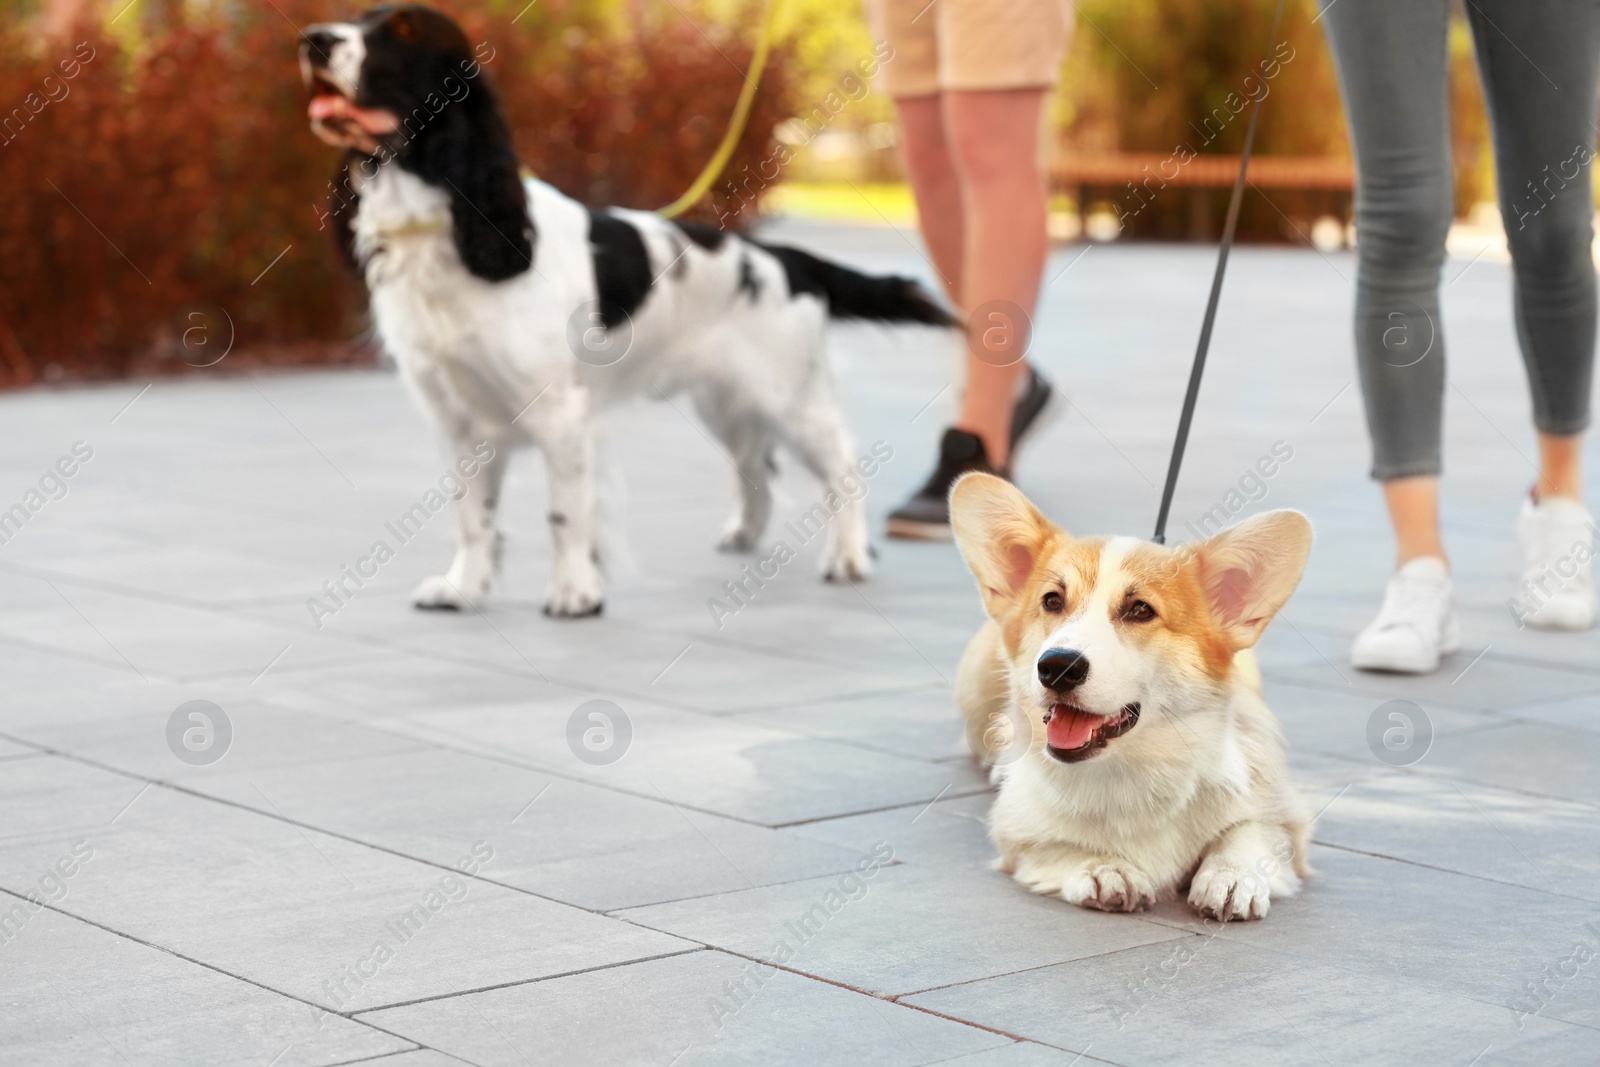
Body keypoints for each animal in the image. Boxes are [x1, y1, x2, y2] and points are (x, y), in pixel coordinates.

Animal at [947, 470, 1312, 921]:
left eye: (1140, 609)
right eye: (1051, 601)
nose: (1056, 666)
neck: (1131, 768)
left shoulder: (1284, 816)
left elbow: (1248, 833)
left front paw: (1231, 877)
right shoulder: (1016, 836)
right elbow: (1056, 845)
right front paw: (1104, 868)